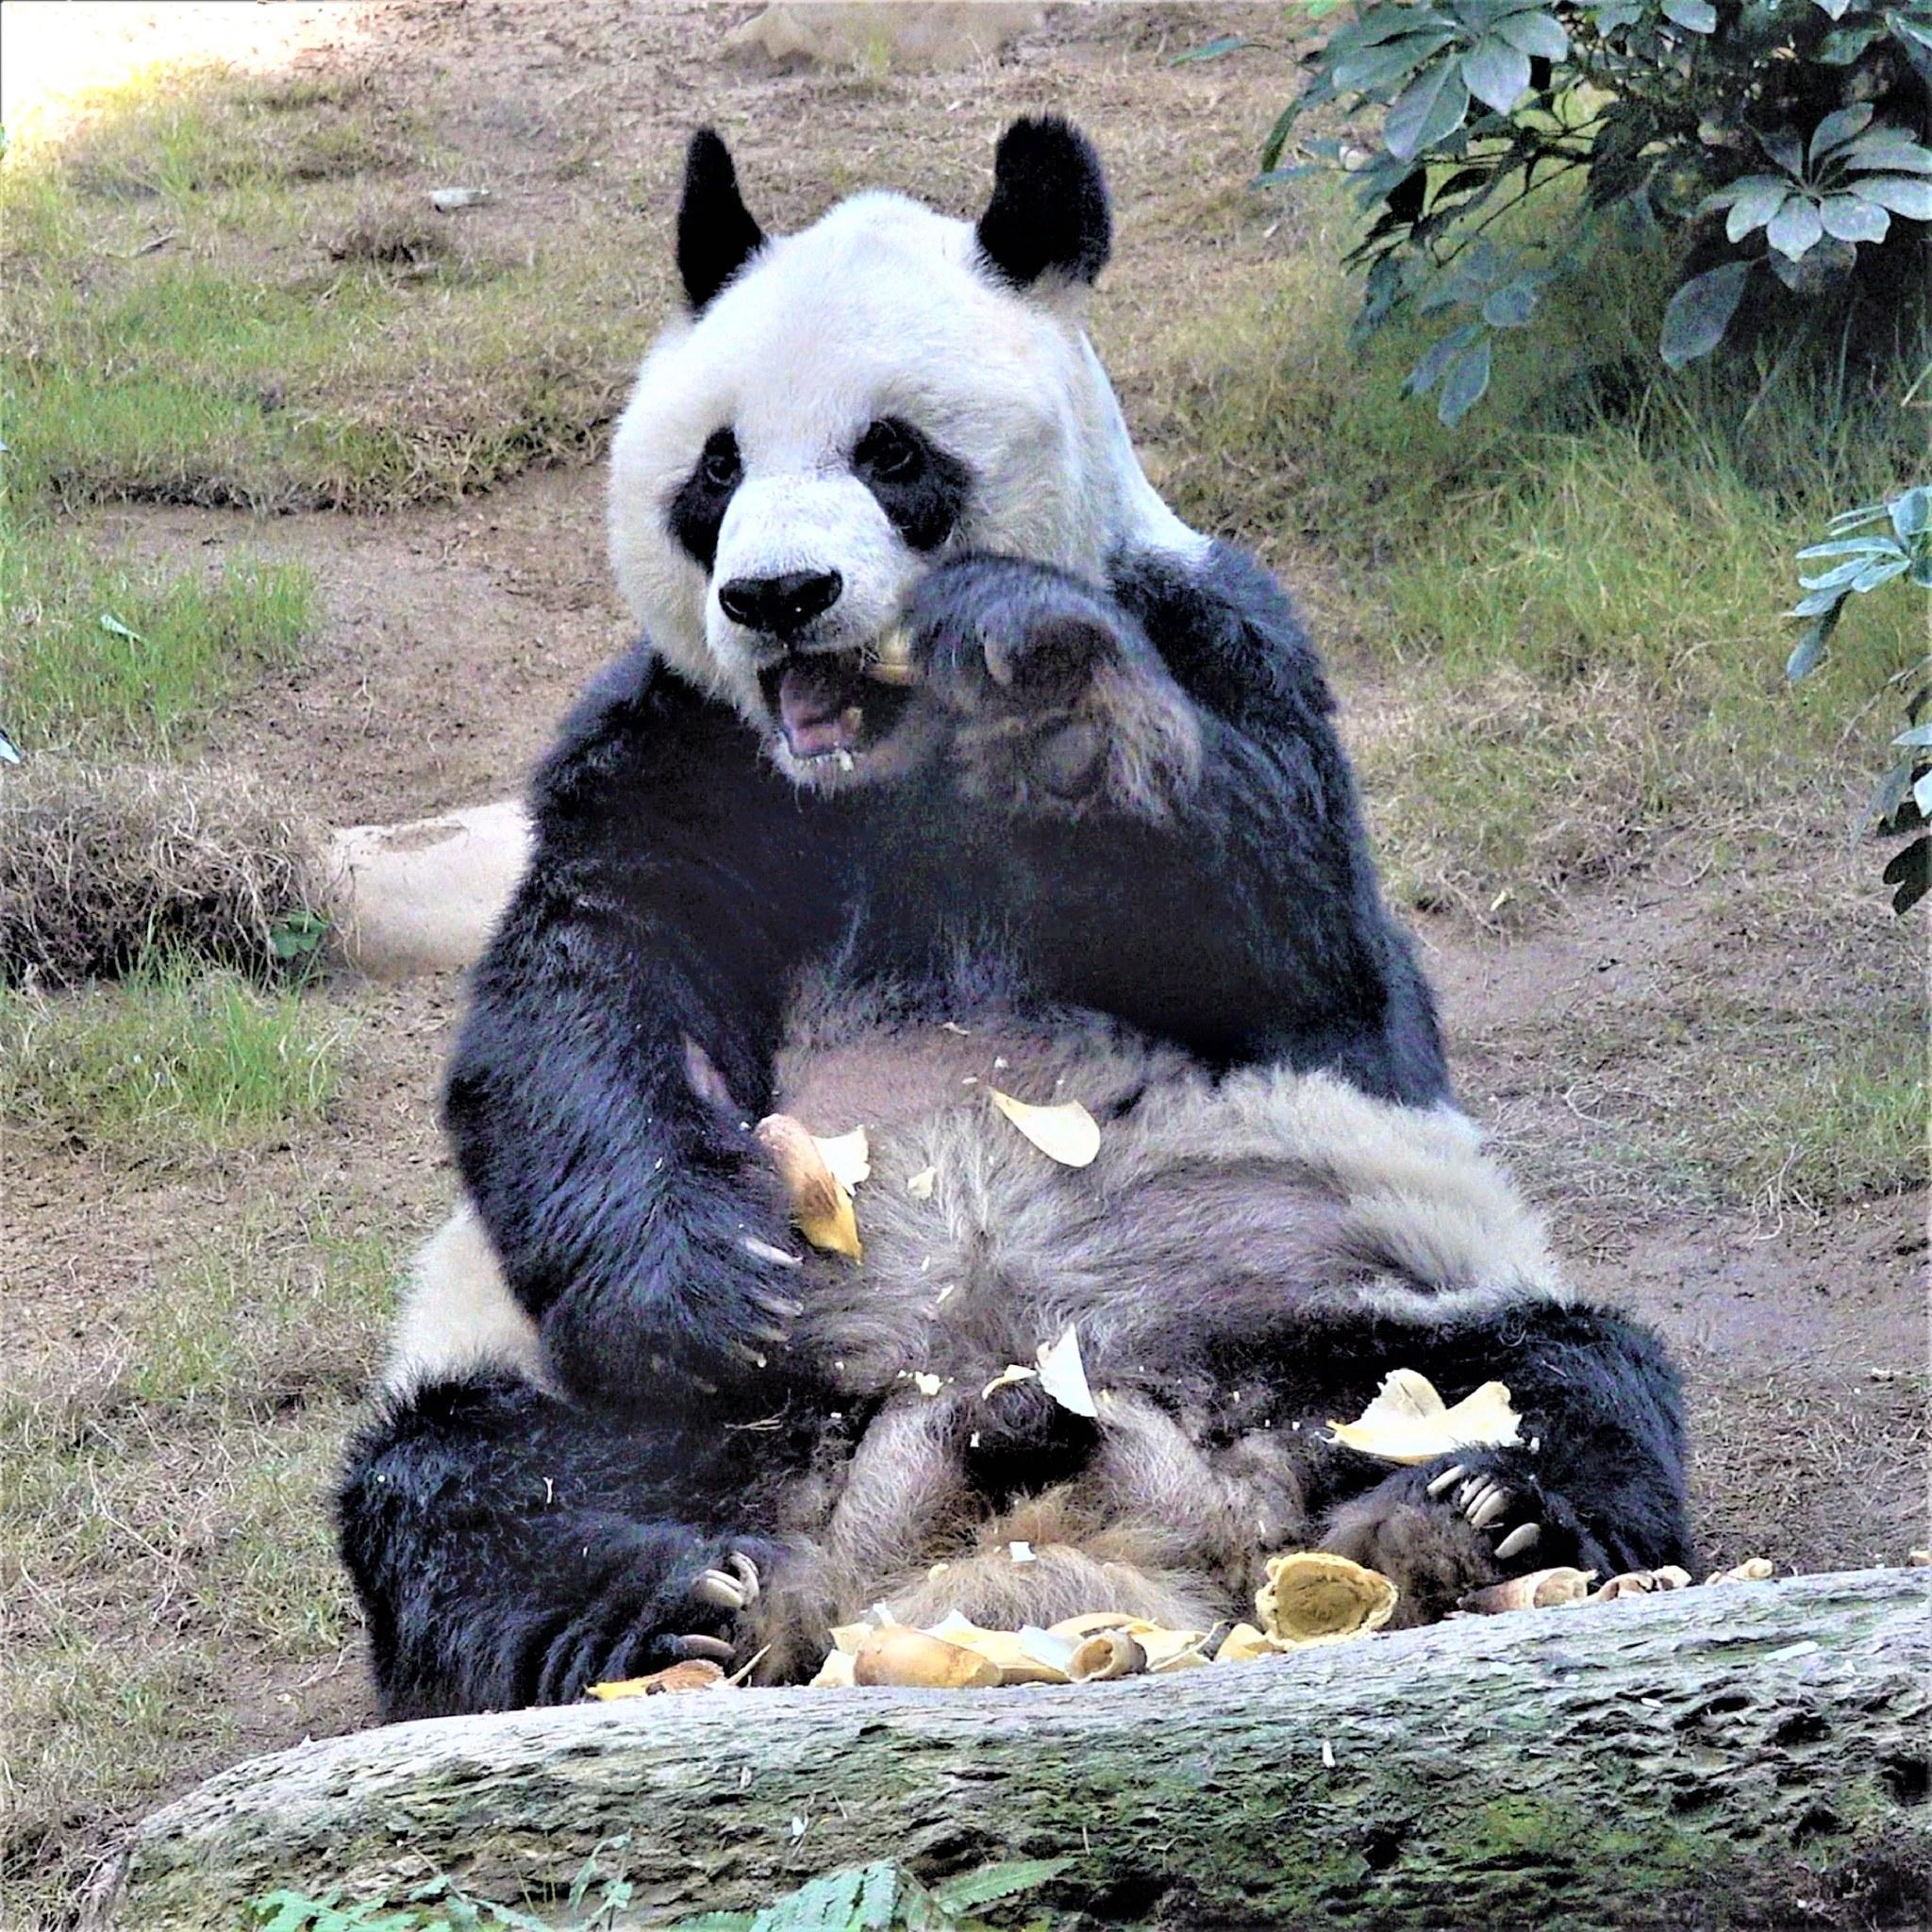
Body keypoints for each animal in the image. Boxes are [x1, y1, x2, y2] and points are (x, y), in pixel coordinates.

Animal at [336, 118, 1693, 1721]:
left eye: (893, 453)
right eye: (716, 467)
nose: (778, 595)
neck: (878, 762)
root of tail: (1005, 1530)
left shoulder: (1221, 638)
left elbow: (1298, 952)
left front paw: (1036, 671)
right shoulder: (680, 749)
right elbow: (587, 1001)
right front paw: (706, 1285)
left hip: (1321, 1302)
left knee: (1558, 1377)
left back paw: (1464, 1515)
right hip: (625, 1411)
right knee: (468, 1494)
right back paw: (672, 1615)